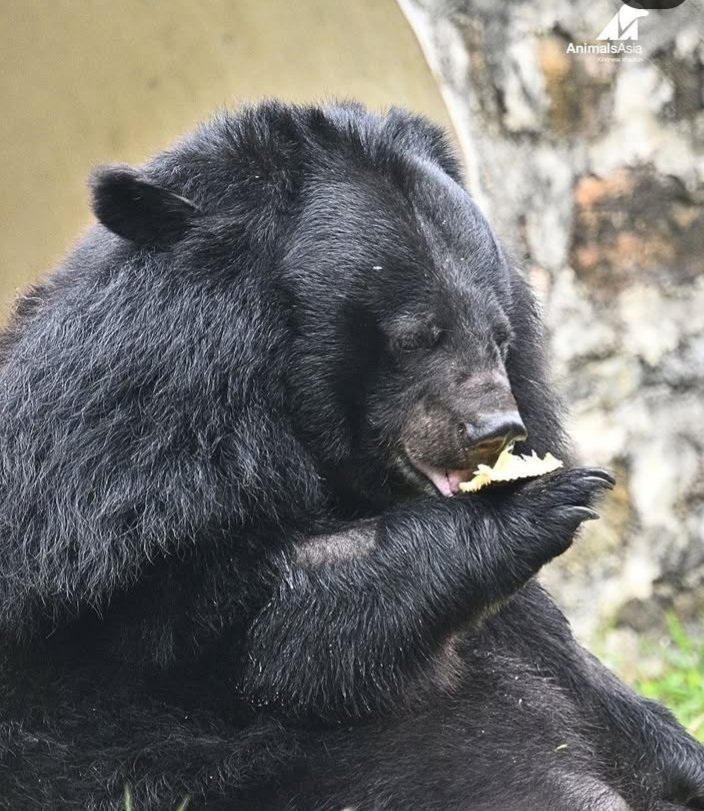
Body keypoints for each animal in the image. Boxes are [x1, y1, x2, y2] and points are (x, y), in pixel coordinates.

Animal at [0, 100, 703, 811]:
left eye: (501, 335)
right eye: (415, 338)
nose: (497, 429)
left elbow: (569, 667)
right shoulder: (120, 530)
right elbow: (272, 639)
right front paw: (542, 499)